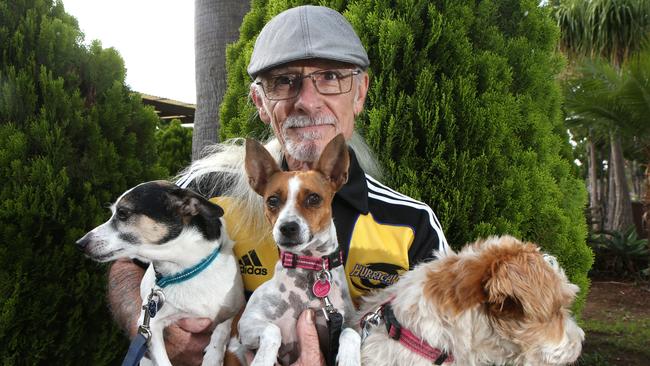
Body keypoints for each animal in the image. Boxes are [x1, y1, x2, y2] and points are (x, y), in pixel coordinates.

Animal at [77, 180, 244, 366]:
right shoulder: (149, 326)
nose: (80, 243)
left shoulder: (235, 307)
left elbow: (223, 327)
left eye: (122, 213)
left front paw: (213, 356)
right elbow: (163, 360)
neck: (184, 269)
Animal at [235, 135, 360, 366]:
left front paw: (350, 359)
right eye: (272, 200)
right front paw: (262, 360)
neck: (309, 267)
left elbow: (351, 334)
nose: (287, 227)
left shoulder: (346, 322)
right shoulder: (247, 324)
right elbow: (272, 329)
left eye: (314, 198)